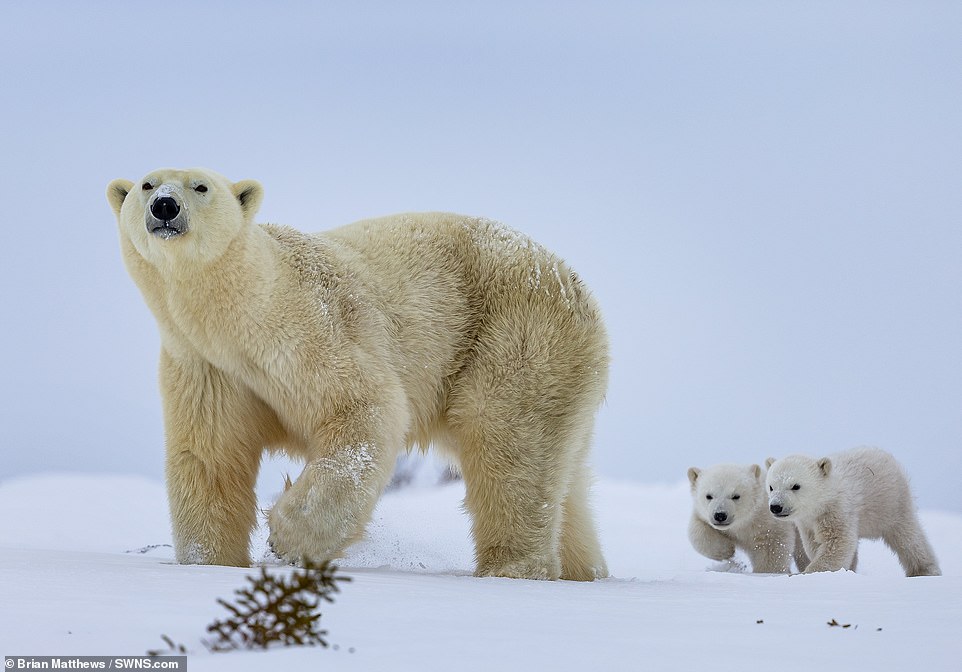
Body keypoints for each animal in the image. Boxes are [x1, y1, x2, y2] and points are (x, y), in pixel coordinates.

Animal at [107, 165, 608, 580]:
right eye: (148, 184)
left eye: (201, 186)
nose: (165, 206)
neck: (240, 316)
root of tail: (579, 290)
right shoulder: (205, 365)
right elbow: (210, 456)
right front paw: (208, 561)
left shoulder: (312, 326)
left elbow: (364, 410)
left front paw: (287, 537)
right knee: (565, 477)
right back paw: (585, 570)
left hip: (516, 338)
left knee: (511, 448)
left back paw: (512, 568)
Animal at [764, 446, 936, 576]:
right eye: (771, 487)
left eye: (795, 486)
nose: (776, 506)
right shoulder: (807, 523)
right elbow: (815, 544)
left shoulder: (837, 510)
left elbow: (837, 542)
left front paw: (807, 573)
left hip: (892, 503)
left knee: (908, 538)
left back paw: (925, 570)